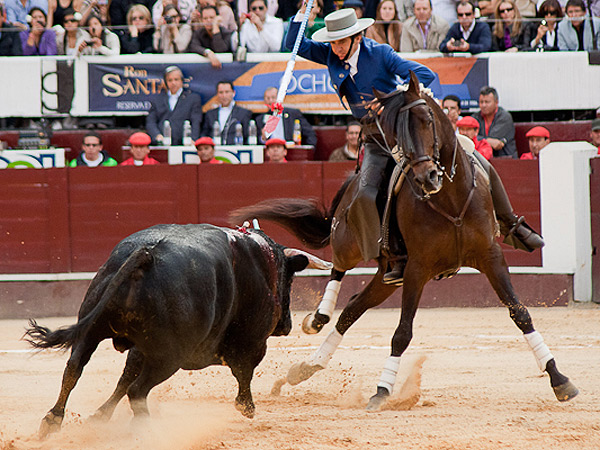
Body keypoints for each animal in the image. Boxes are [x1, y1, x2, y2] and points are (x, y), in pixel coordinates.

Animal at [27, 223, 328, 438]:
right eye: (289, 279)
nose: (287, 325)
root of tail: (146, 254)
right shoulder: (252, 342)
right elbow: (245, 371)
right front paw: (247, 407)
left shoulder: (140, 348)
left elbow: (123, 377)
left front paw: (99, 416)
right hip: (169, 357)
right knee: (137, 390)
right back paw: (147, 430)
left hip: (91, 329)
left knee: (74, 369)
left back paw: (51, 421)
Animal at [230, 72, 576, 410]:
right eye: (396, 129)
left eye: (427, 120)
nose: (427, 177)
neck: (451, 201)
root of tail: (352, 181)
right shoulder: (418, 268)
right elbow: (402, 332)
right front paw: (382, 390)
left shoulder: (491, 258)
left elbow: (520, 313)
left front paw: (559, 379)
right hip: (354, 243)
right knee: (337, 267)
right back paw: (317, 318)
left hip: (387, 276)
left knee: (352, 308)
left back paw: (308, 366)